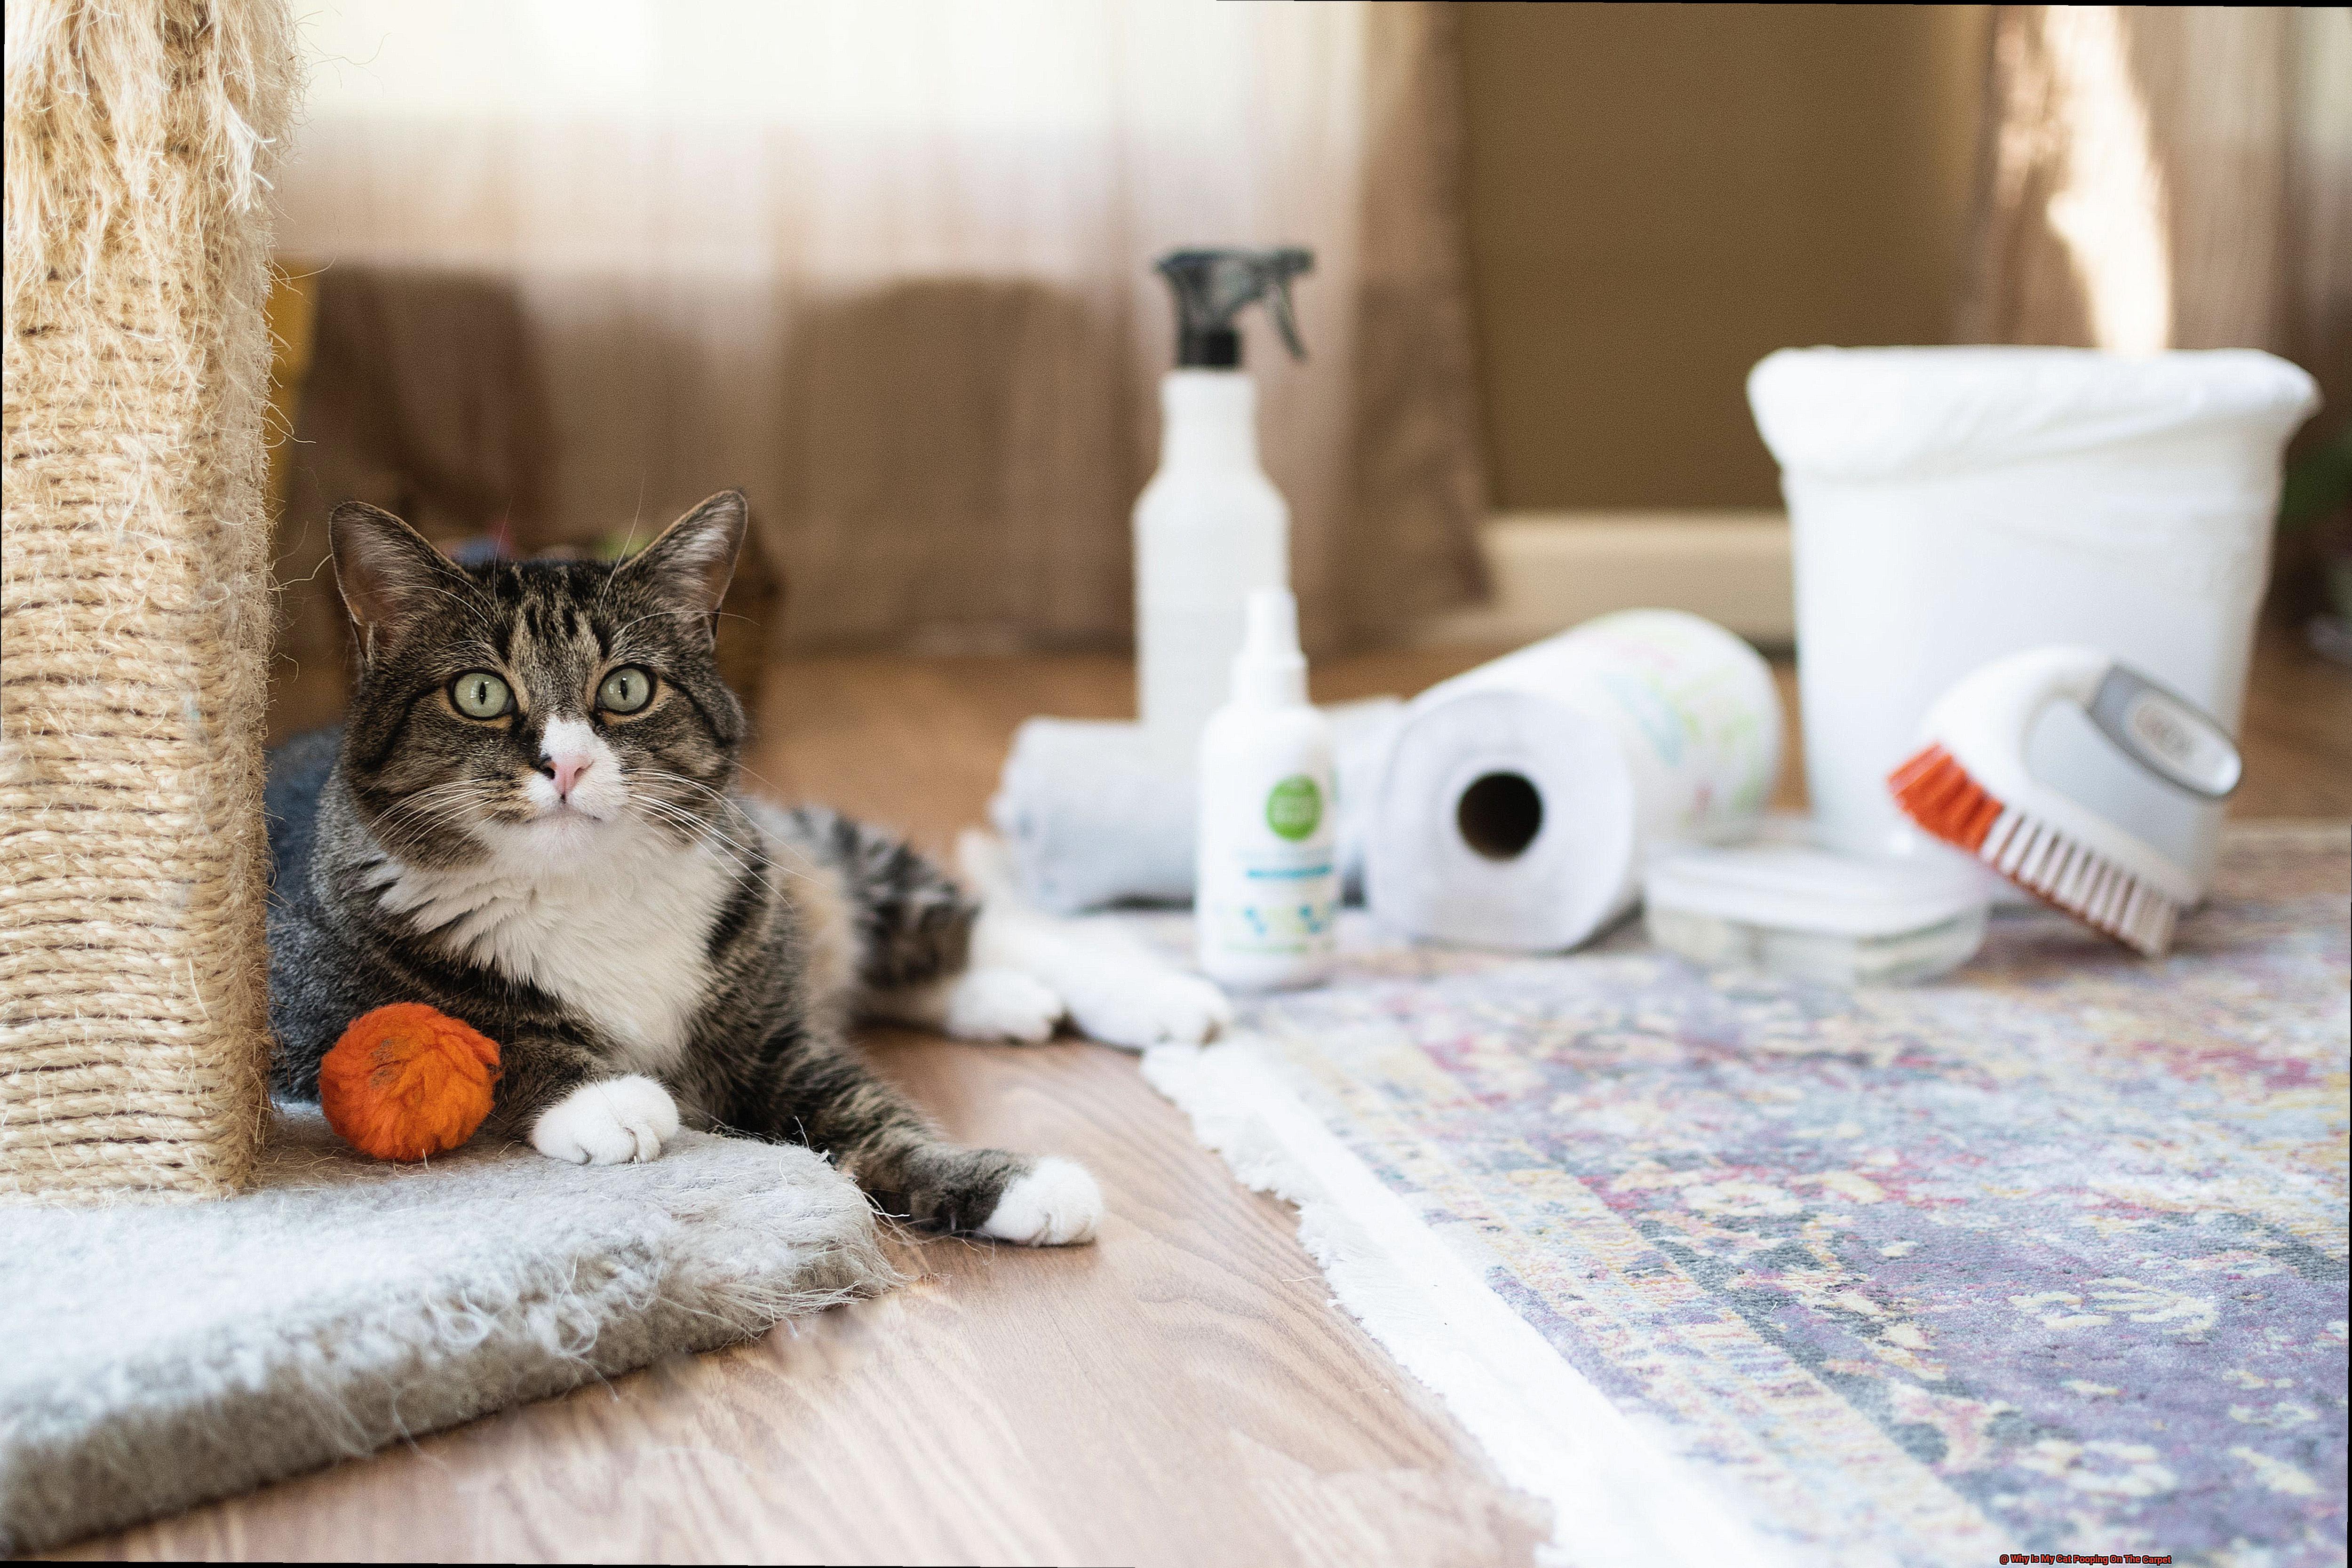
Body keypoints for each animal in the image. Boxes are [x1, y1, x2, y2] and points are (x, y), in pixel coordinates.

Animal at [270, 493, 1232, 1250]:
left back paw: (1153, 997)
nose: (568, 764)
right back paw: (1005, 1000)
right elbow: (473, 1032)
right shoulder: (295, 1005)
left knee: (965, 926)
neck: (586, 892)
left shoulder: (770, 1032)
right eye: (479, 693)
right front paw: (608, 1099)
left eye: (626, 688)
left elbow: (867, 1108)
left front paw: (1020, 1181)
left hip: (803, 860)